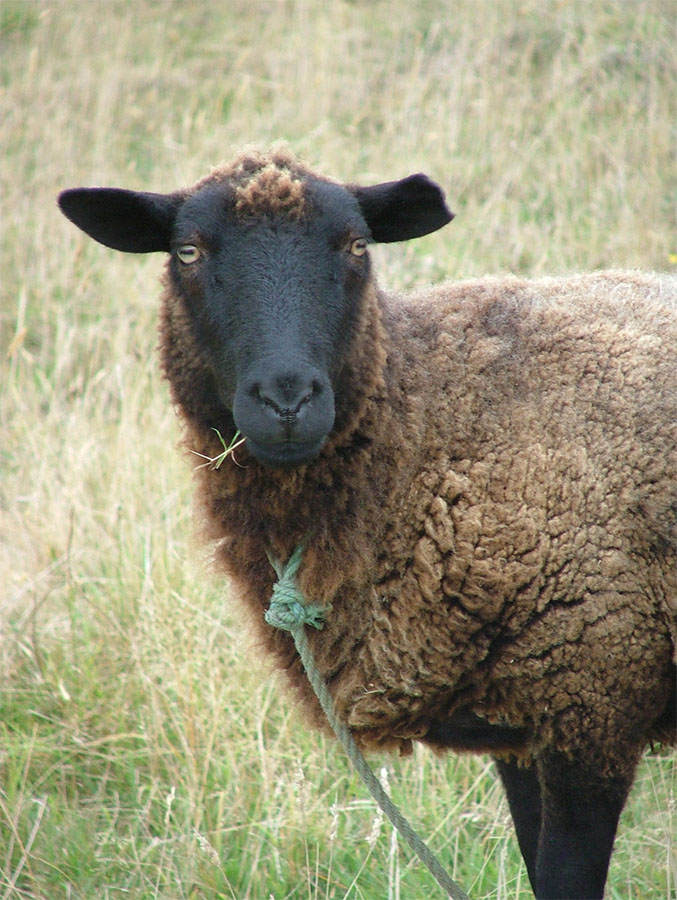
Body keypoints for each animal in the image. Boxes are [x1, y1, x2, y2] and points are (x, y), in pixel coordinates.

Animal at [59, 149, 676, 900]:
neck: (429, 420)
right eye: (188, 251)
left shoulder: (592, 700)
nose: (287, 400)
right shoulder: (525, 724)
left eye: (357, 246)